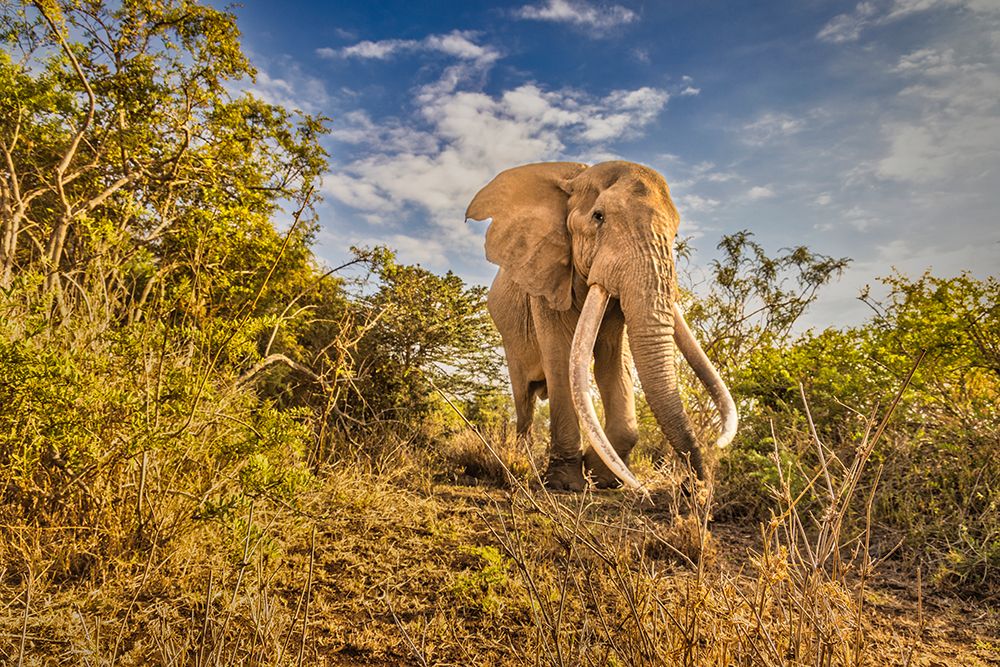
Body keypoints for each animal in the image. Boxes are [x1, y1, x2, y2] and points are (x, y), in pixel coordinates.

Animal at [466, 161, 737, 491]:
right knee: (524, 398)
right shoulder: (545, 281)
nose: (693, 486)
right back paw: (522, 458)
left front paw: (602, 477)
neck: (575, 177)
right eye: (599, 217)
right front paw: (565, 483)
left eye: (675, 233)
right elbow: (561, 358)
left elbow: (614, 361)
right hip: (510, 336)